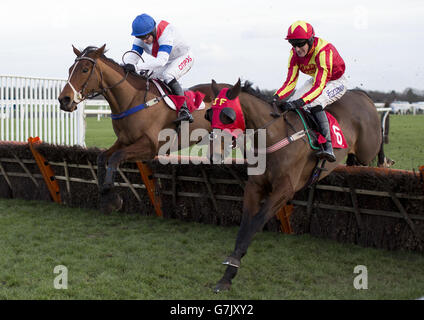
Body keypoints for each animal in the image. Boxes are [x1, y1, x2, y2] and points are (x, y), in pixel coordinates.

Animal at [209, 78, 384, 292]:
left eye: (227, 116)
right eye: (209, 114)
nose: (214, 154)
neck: (273, 137)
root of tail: (362, 95)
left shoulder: (284, 190)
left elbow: (256, 222)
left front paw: (232, 264)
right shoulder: (254, 187)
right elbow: (245, 225)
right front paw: (227, 276)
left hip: (367, 150)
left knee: (377, 145)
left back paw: (385, 160)